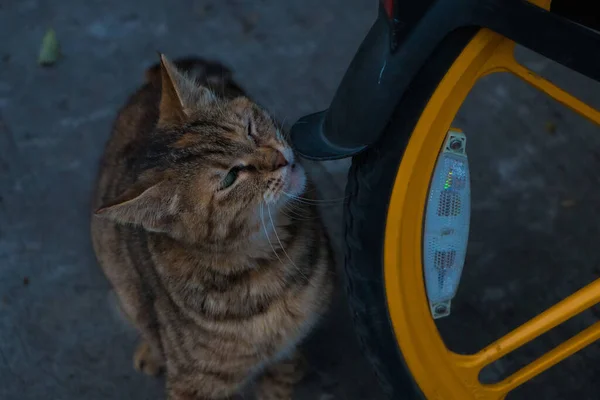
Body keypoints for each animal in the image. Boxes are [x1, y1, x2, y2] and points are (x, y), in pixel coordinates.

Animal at [89, 54, 336, 400]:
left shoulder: (286, 349)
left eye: (249, 129)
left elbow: (280, 378)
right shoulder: (195, 384)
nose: (280, 159)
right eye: (230, 178)